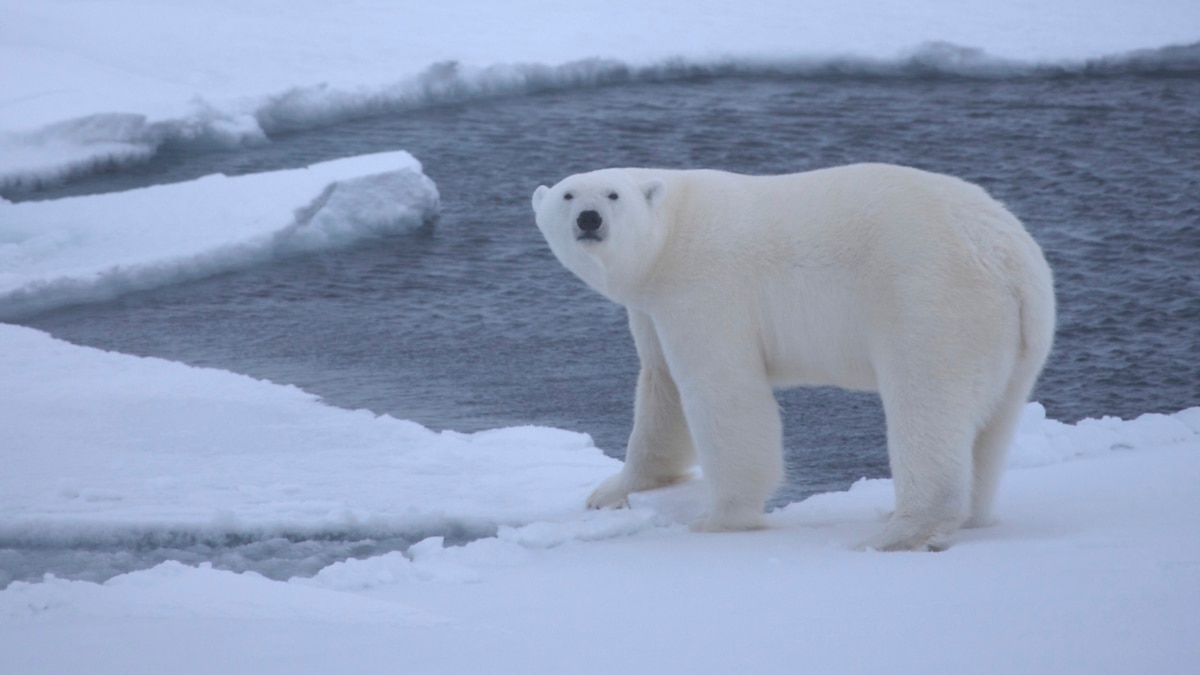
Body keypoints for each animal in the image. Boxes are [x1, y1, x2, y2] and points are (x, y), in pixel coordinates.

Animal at [532, 162, 1051, 547]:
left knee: (927, 403)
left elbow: (721, 390)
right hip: (1017, 334)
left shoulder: (706, 284)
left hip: (930, 296)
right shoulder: (652, 306)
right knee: (993, 424)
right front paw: (612, 491)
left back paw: (898, 530)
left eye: (612, 195)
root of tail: (1007, 255)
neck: (672, 234)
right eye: (569, 196)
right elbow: (663, 387)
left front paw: (720, 519)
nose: (590, 219)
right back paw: (963, 516)